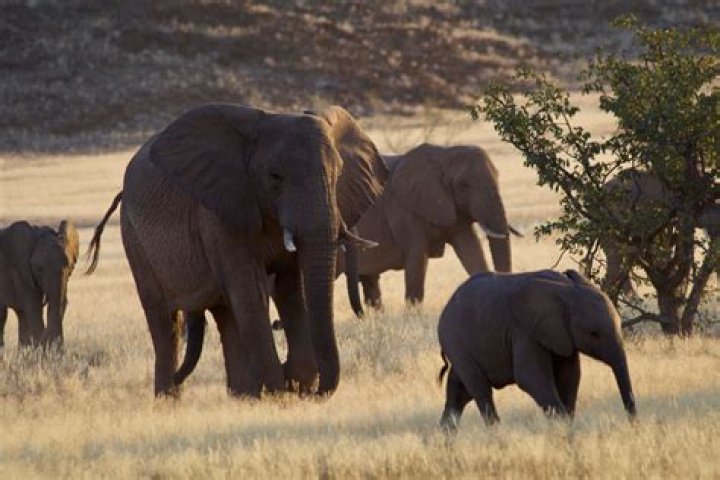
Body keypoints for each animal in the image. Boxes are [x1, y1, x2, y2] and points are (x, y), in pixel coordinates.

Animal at [86, 103, 387, 398]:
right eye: (275, 177)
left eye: (338, 174)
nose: (315, 392)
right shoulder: (219, 213)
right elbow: (251, 291)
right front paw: (279, 393)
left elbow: (293, 287)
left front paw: (293, 386)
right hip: (133, 237)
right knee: (164, 322)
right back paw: (168, 399)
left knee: (225, 316)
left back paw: (242, 395)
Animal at [338, 143, 519, 310]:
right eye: (464, 185)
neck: (444, 154)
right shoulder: (405, 211)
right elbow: (417, 260)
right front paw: (413, 314)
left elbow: (471, 250)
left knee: (370, 282)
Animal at [438, 269, 637, 431]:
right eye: (593, 334)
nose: (633, 425)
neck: (566, 289)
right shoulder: (523, 331)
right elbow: (531, 378)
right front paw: (563, 428)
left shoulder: (561, 335)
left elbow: (570, 377)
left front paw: (567, 429)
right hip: (456, 342)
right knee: (480, 390)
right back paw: (497, 436)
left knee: (458, 394)